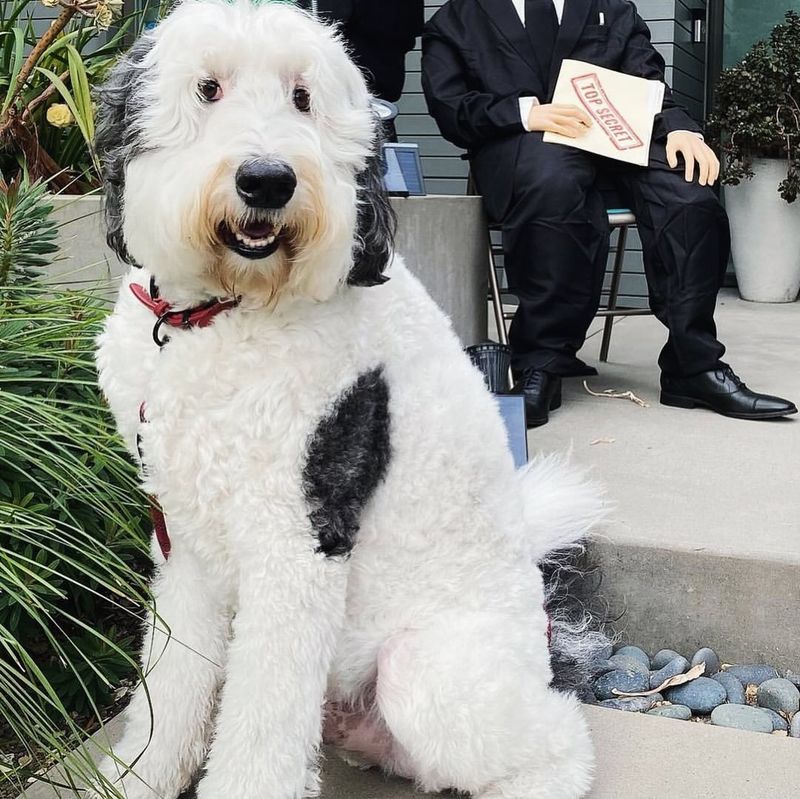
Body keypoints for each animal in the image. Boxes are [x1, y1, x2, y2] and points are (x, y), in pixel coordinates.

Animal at [94, 3, 608, 796]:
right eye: (209, 88)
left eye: (303, 98)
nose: (268, 180)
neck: (218, 314)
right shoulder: (184, 536)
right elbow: (172, 677)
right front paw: (141, 774)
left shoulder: (298, 535)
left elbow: (264, 712)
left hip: (428, 676)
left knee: (561, 738)